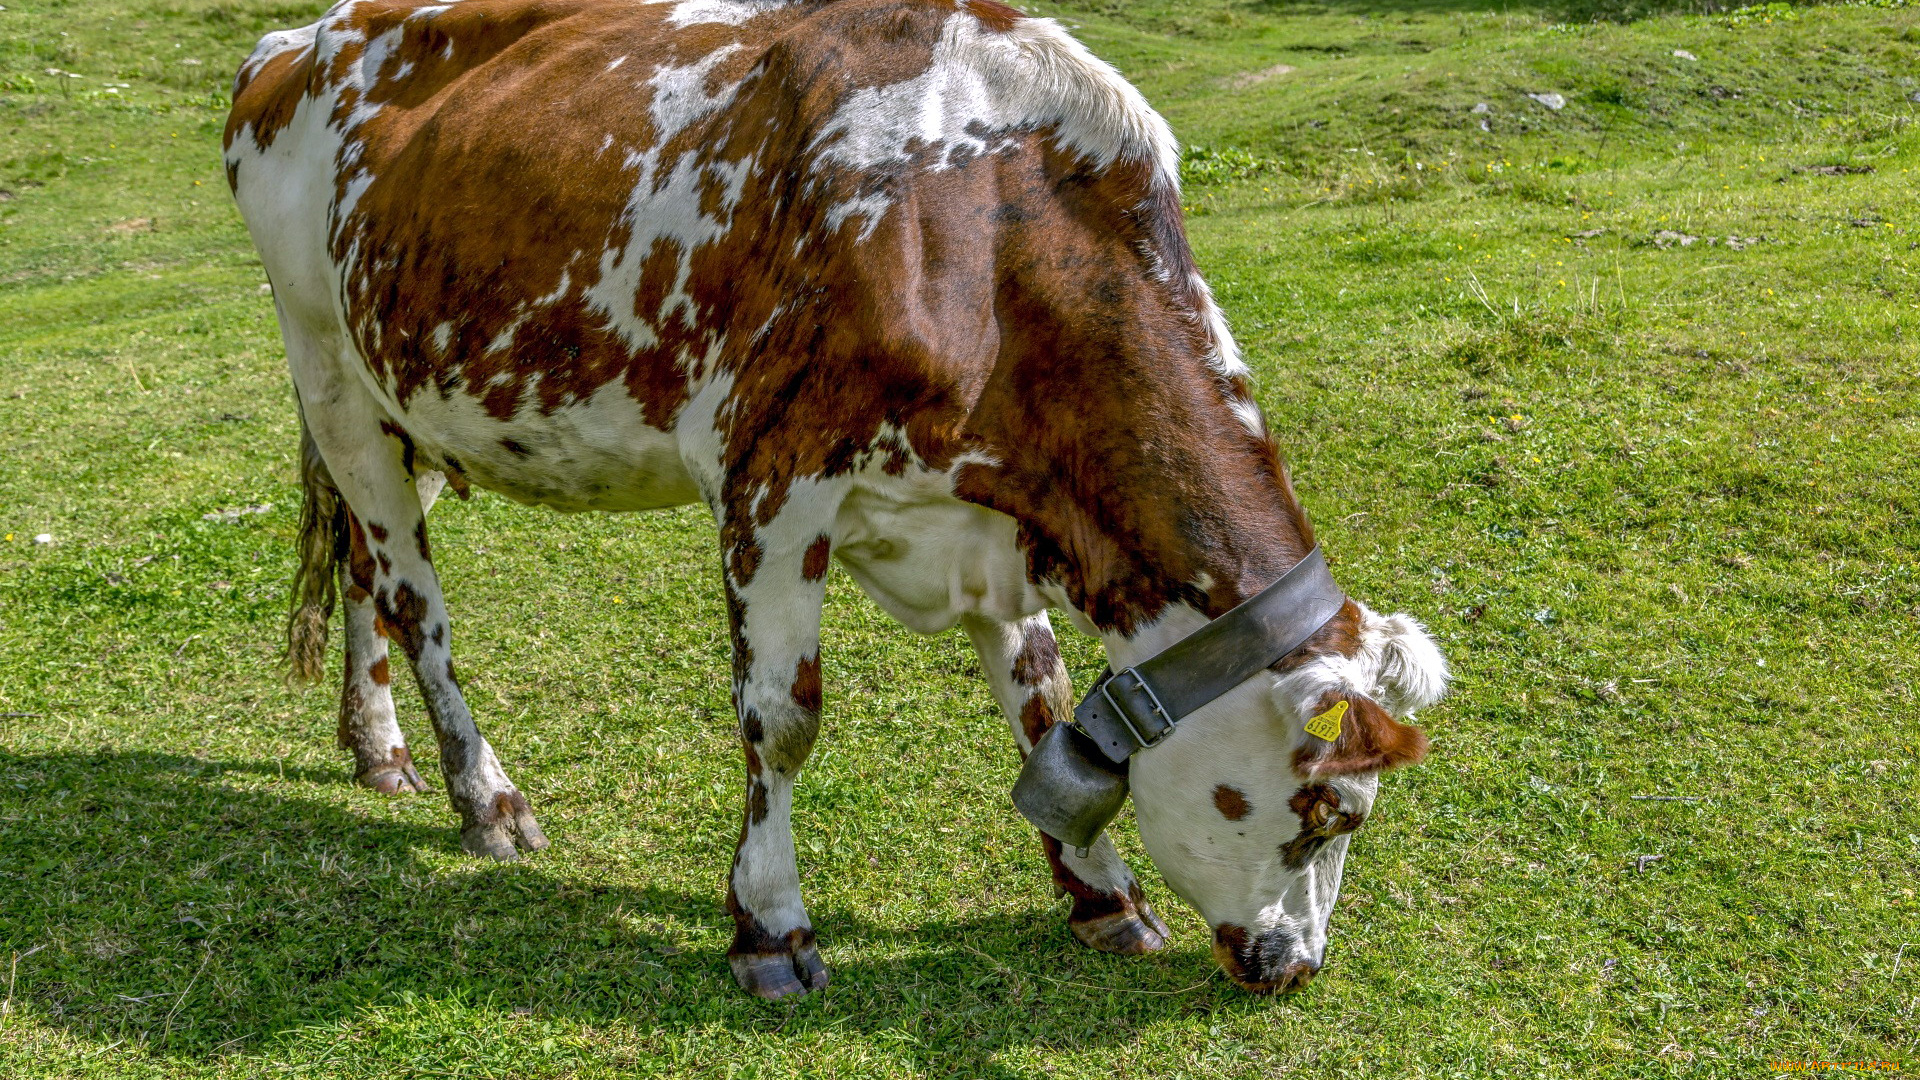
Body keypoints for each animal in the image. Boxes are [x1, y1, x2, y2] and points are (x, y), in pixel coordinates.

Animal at [224, 0, 1448, 1000]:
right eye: (1328, 814)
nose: (1294, 966)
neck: (982, 234)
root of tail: (301, 36)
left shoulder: (995, 514)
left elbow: (1040, 703)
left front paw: (1104, 895)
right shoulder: (775, 478)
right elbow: (784, 719)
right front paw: (770, 927)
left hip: (408, 391)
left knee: (362, 565)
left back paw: (375, 746)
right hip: (324, 361)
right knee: (412, 596)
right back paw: (484, 798)